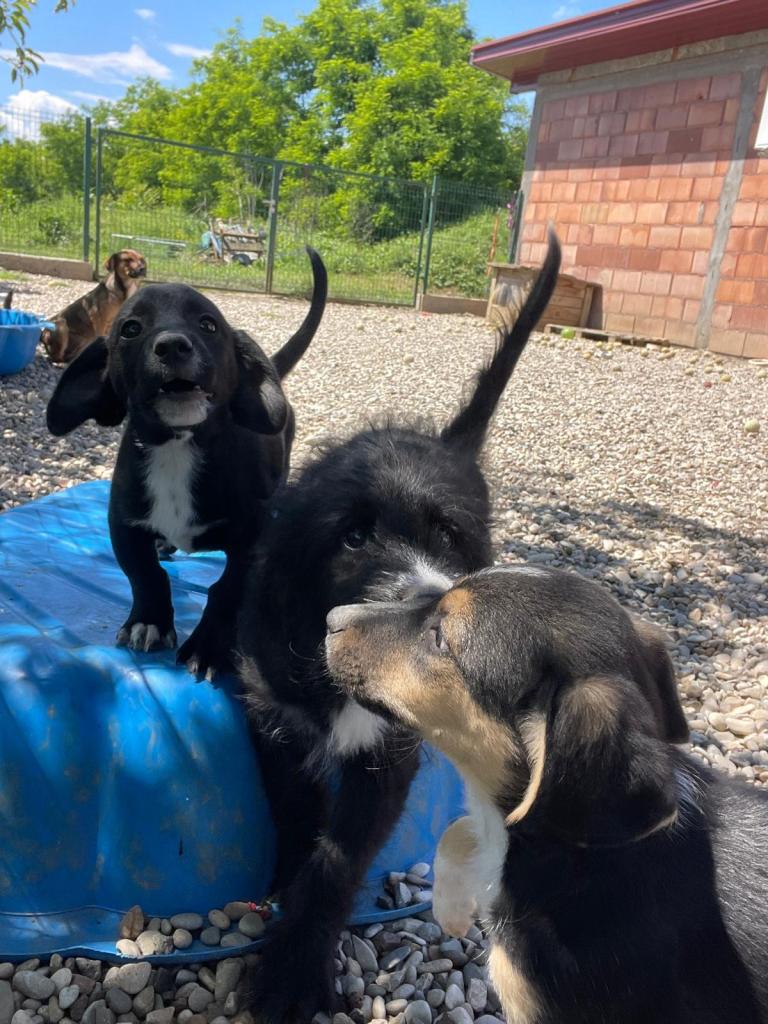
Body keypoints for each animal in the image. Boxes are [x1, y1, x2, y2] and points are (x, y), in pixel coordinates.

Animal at [46, 248, 327, 677]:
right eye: (130, 329)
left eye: (208, 325)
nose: (172, 346)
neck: (179, 447)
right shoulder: (123, 524)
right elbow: (145, 574)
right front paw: (148, 622)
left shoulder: (251, 536)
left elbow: (226, 589)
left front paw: (209, 646)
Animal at [237, 232, 561, 1022]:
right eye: (352, 539)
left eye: (449, 536)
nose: (435, 616)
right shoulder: (268, 707)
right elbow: (295, 802)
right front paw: (287, 880)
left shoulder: (390, 751)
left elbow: (343, 855)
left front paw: (294, 967)